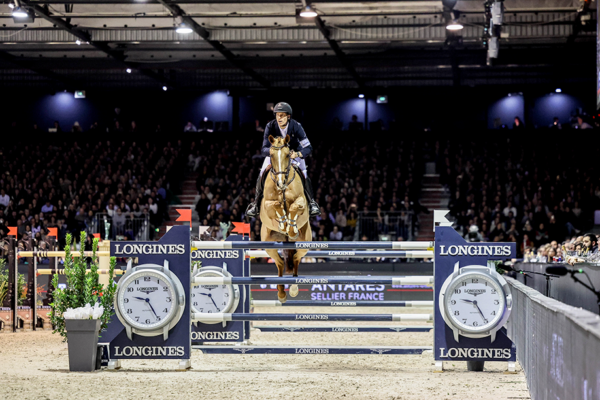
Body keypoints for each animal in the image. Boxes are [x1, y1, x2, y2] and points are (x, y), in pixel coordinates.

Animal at [258, 135, 312, 304]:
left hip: (305, 243)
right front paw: (283, 223)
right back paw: (281, 294)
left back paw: (293, 289)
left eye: (288, 155)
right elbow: (275, 204)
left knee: (295, 258)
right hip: (268, 244)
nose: (281, 183)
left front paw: (291, 228)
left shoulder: (301, 202)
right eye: (271, 155)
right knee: (280, 263)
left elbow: (295, 206)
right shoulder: (266, 205)